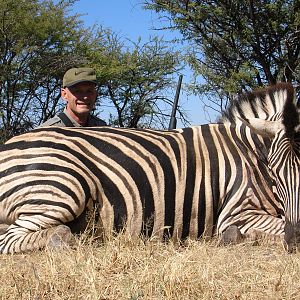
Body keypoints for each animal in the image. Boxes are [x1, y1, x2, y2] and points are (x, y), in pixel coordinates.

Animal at [0, 81, 298, 252]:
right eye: (274, 170)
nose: (295, 239)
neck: (249, 154)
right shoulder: (237, 213)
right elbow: (253, 229)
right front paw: (238, 237)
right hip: (64, 188)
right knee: (17, 238)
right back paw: (63, 238)